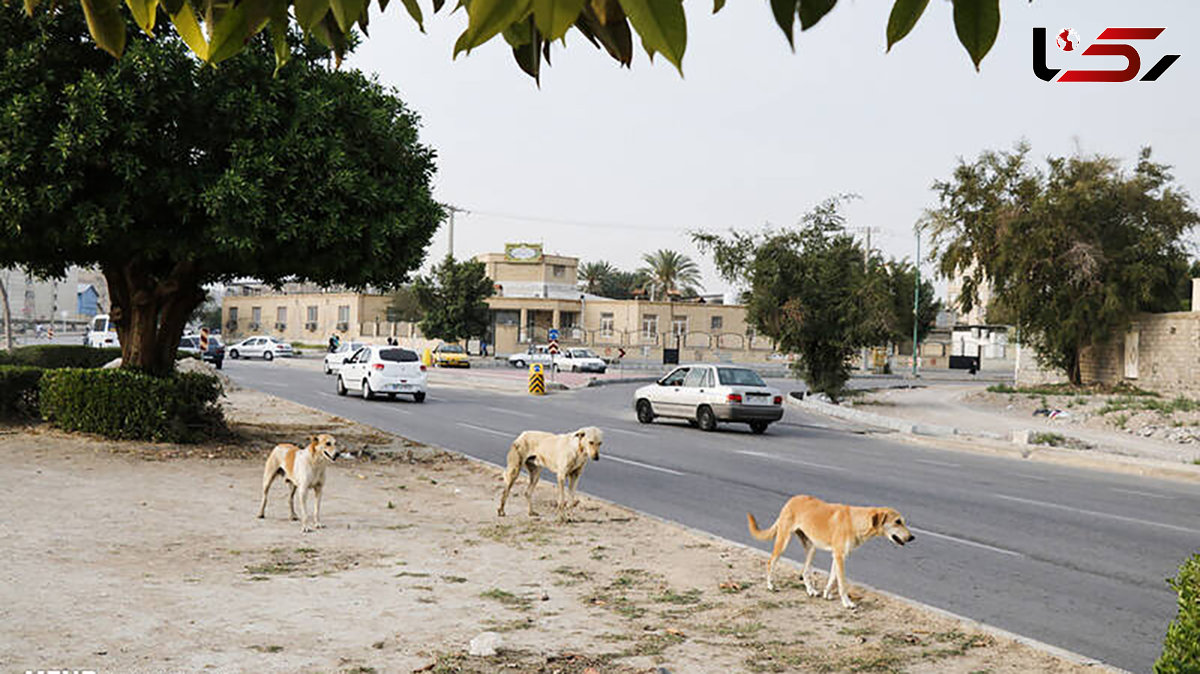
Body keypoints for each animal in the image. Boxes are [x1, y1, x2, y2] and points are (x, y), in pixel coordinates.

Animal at [744, 494, 912, 609]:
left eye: (902, 521)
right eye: (897, 521)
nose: (912, 537)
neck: (855, 521)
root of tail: (791, 500)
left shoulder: (837, 556)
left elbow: (832, 578)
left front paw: (827, 594)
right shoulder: (839, 556)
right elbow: (842, 583)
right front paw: (847, 602)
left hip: (811, 548)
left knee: (805, 571)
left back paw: (811, 590)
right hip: (783, 542)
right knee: (770, 562)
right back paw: (770, 585)